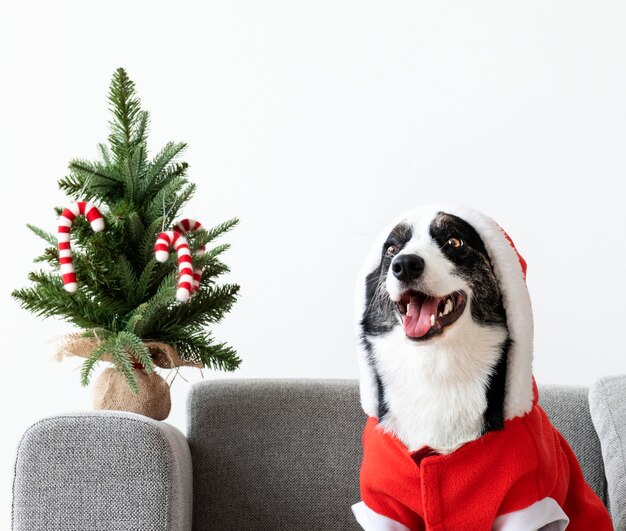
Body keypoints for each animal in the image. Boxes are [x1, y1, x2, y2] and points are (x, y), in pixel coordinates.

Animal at [352, 205, 608, 531]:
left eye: (454, 242)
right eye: (391, 249)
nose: (405, 265)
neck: (436, 368)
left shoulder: (524, 499)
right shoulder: (387, 505)